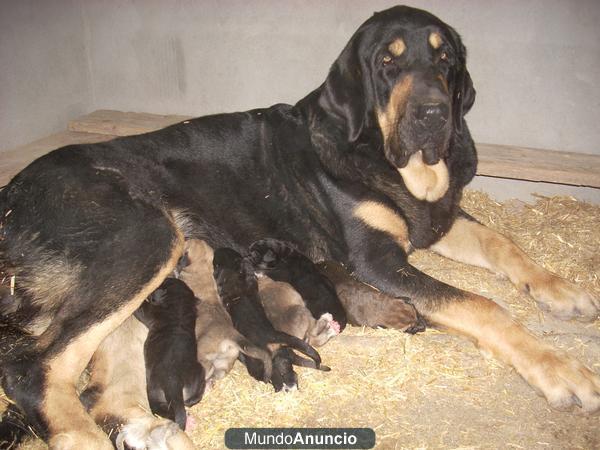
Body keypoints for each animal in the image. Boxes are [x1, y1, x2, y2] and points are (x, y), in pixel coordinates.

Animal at [133, 278, 204, 428]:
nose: (167, 277)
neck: (180, 305)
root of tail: (173, 383)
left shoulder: (149, 312)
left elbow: (141, 308)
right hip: (199, 373)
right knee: (192, 398)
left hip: (153, 393)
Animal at [178, 239, 272, 384]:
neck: (202, 270)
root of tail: (231, 335)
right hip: (226, 361)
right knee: (218, 373)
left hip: (203, 354)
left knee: (207, 368)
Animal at [211, 248, 324, 392]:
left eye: (216, 260)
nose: (217, 249)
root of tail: (272, 335)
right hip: (282, 358)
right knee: (290, 375)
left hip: (260, 365)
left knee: (275, 379)